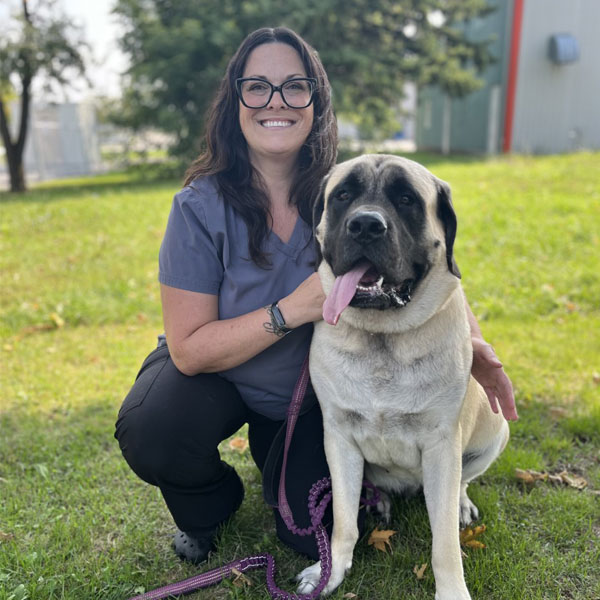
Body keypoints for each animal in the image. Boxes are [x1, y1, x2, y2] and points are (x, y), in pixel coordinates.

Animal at [298, 156, 508, 600]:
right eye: (343, 194)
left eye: (407, 199)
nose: (365, 225)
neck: (383, 338)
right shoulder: (338, 438)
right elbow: (343, 522)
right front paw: (330, 571)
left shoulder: (442, 444)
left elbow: (444, 543)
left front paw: (452, 591)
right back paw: (378, 501)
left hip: (495, 431)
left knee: (463, 482)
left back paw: (460, 504)